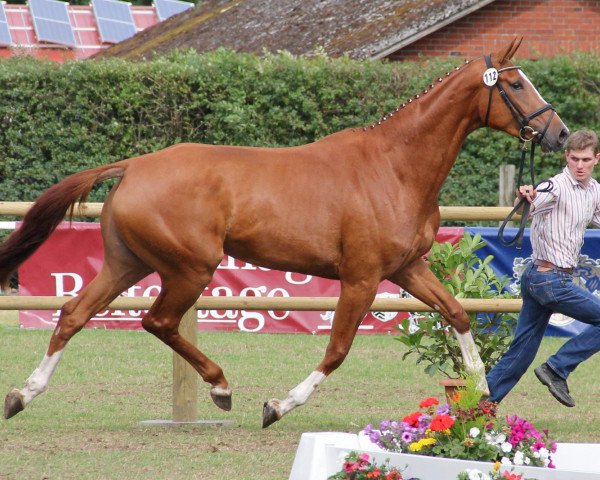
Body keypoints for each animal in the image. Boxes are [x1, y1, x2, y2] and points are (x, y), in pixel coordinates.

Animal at [1, 38, 568, 428]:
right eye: (517, 84)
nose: (560, 133)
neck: (395, 168)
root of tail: (134, 165)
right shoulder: (361, 278)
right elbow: (337, 349)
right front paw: (277, 406)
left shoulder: (407, 268)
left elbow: (456, 314)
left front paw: (482, 398)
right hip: (189, 268)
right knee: (157, 321)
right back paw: (221, 388)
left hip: (128, 263)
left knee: (73, 314)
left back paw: (22, 395)